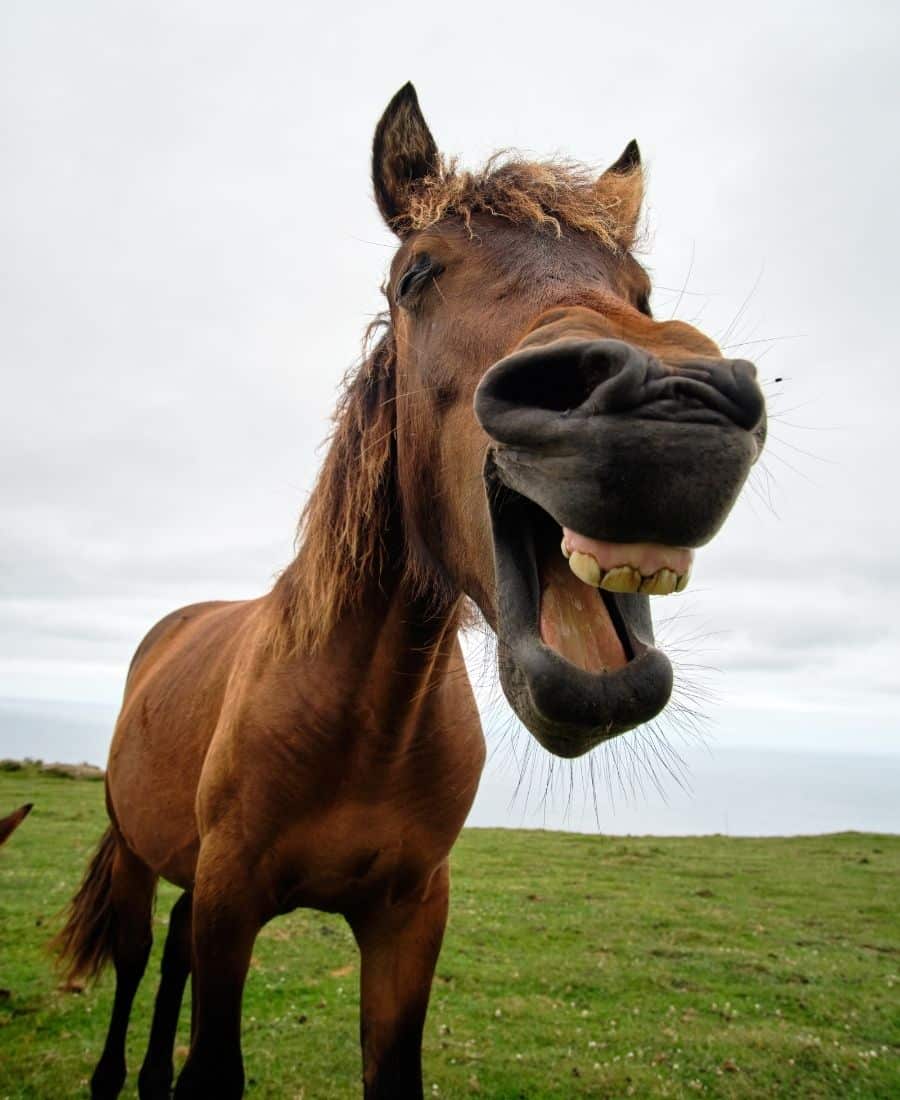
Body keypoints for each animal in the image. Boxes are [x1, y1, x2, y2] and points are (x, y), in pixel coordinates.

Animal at [54, 83, 766, 1099]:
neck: (365, 721)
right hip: (142, 860)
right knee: (141, 956)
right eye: (416, 275)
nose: (672, 406)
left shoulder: (411, 913)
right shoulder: (233, 900)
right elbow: (212, 1060)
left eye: (641, 291)